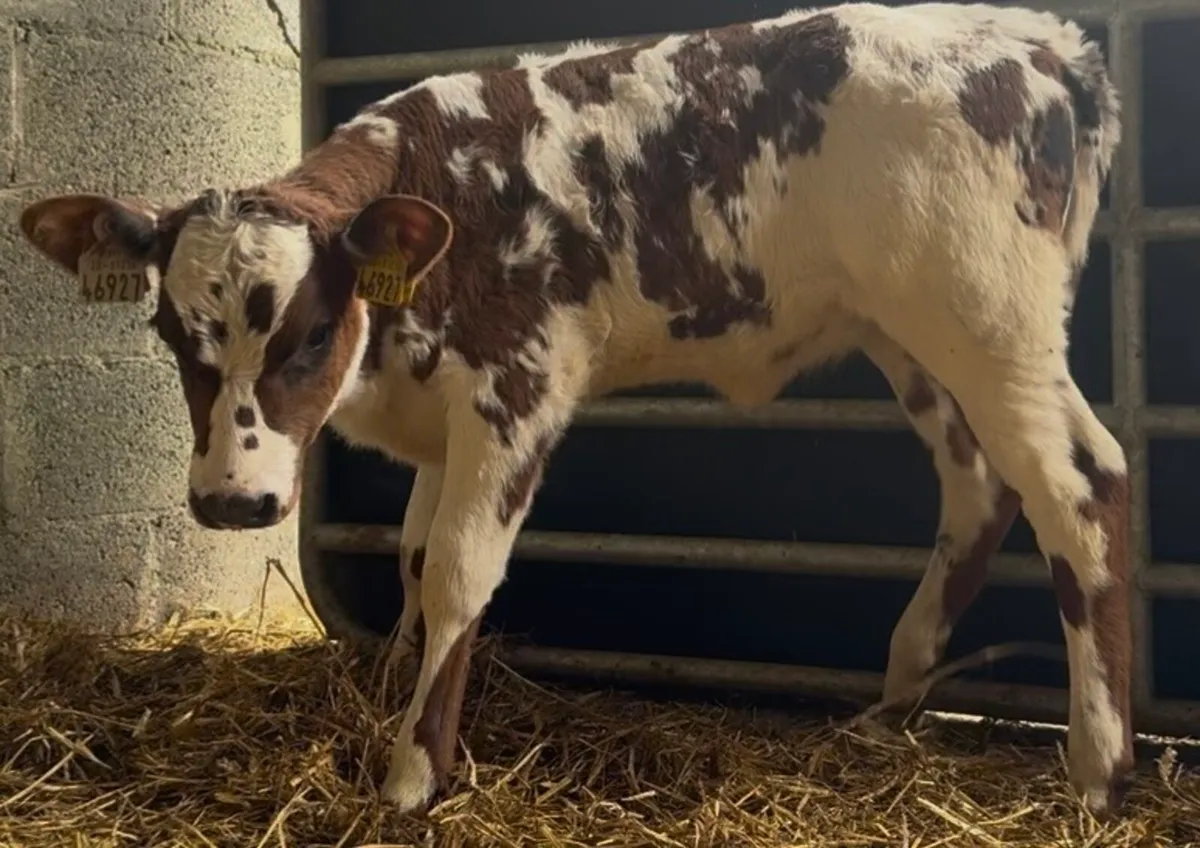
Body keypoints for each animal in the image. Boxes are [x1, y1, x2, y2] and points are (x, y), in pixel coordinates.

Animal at [18, 1, 1127, 818]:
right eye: (171, 335)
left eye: (314, 333)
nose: (232, 502)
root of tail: (1037, 40)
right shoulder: (441, 417)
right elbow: (412, 561)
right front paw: (387, 689)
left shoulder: (517, 388)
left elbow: (459, 571)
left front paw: (413, 774)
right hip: (907, 329)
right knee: (978, 487)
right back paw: (893, 700)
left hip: (987, 316)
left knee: (1083, 486)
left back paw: (1098, 767)